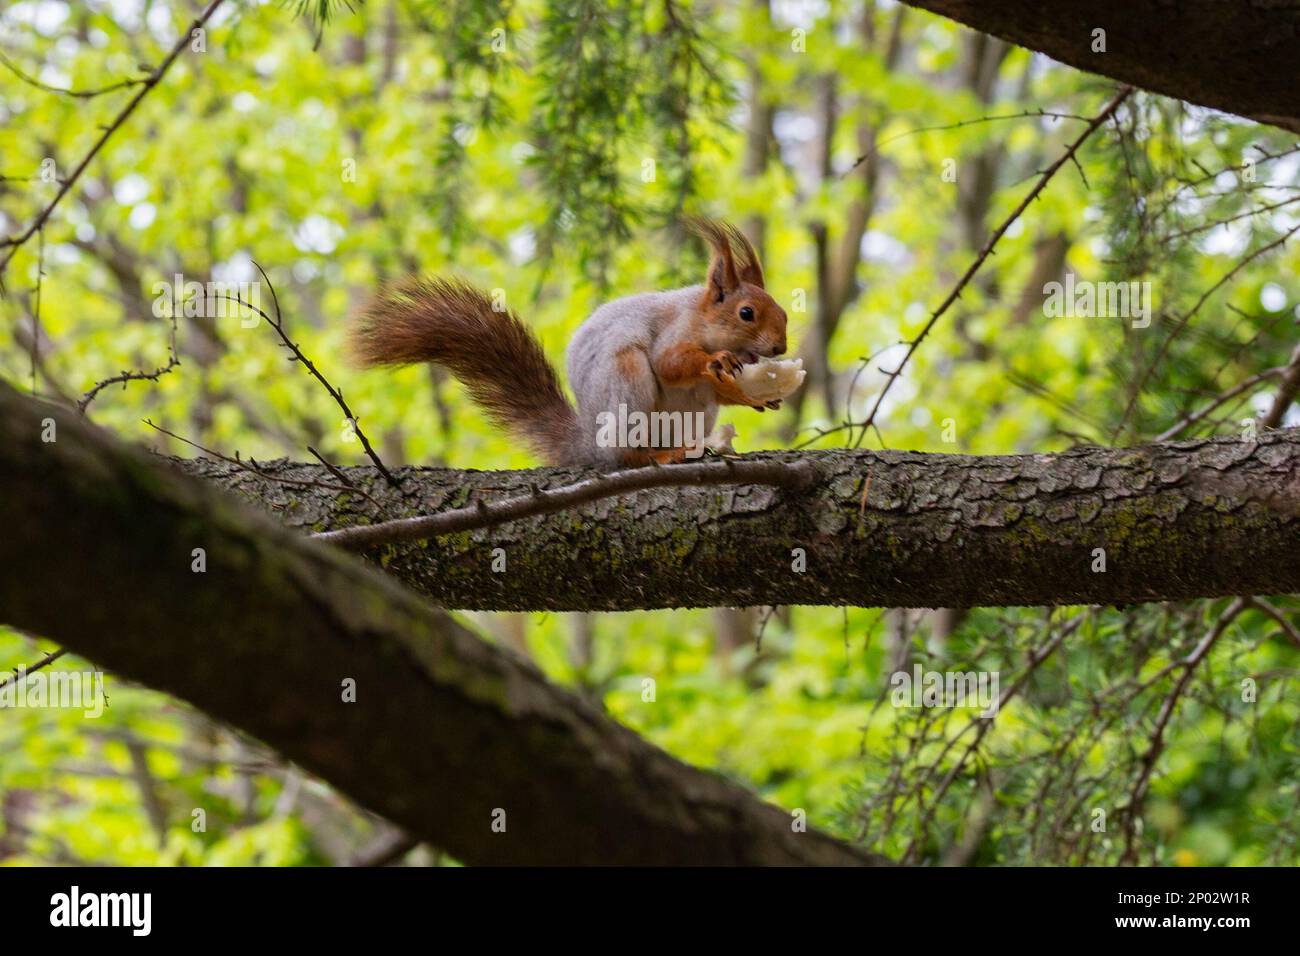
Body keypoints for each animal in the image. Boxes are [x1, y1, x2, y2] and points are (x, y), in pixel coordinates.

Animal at [348, 217, 788, 469]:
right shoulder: (673, 331)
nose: (781, 349)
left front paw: (758, 397)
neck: (700, 318)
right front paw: (717, 359)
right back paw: (657, 454)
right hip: (626, 381)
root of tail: (591, 444)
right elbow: (670, 362)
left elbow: (724, 391)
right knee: (623, 455)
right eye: (746, 313)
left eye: (783, 312)